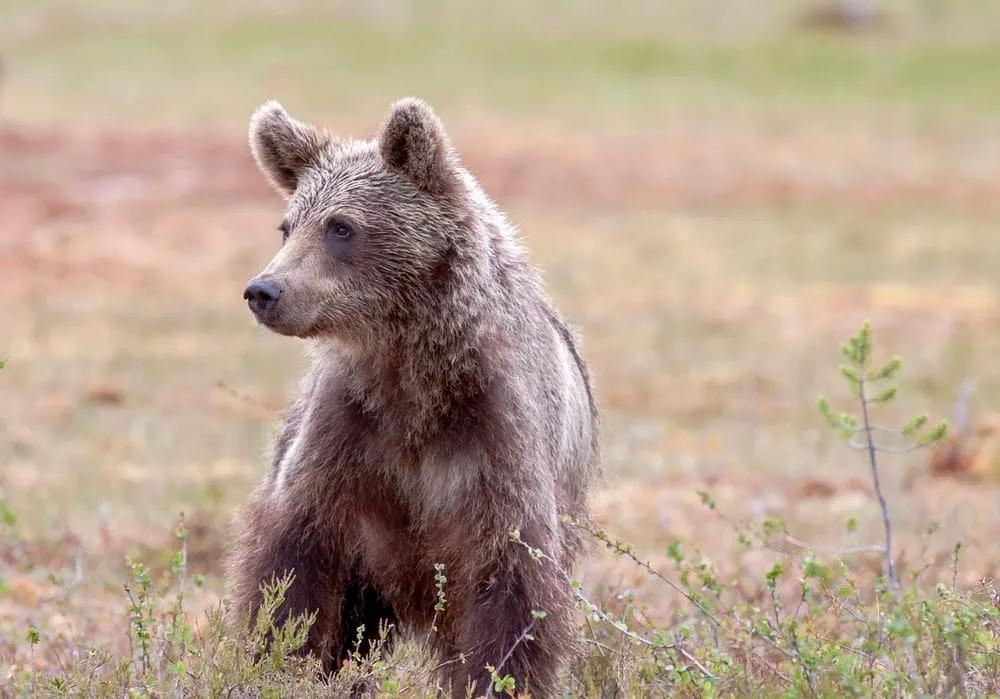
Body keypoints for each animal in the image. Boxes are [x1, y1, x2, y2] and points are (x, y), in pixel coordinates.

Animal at [229, 97, 599, 698]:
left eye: (341, 226)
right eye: (287, 226)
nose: (264, 290)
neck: (414, 374)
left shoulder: (495, 440)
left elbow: (512, 595)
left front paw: (498, 678)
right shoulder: (347, 437)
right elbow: (292, 576)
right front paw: (280, 662)